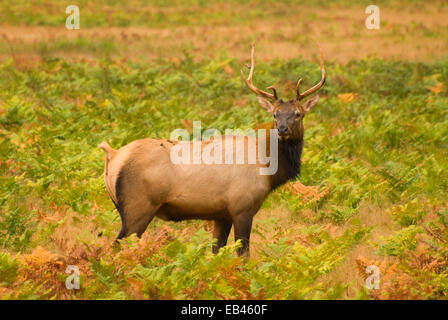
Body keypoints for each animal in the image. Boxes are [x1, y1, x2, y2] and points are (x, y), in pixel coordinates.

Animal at [100, 45, 326, 256]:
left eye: (298, 114)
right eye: (275, 114)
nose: (282, 129)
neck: (269, 171)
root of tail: (113, 156)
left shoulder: (222, 214)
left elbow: (216, 252)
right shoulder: (242, 207)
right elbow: (243, 254)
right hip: (137, 207)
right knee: (117, 247)